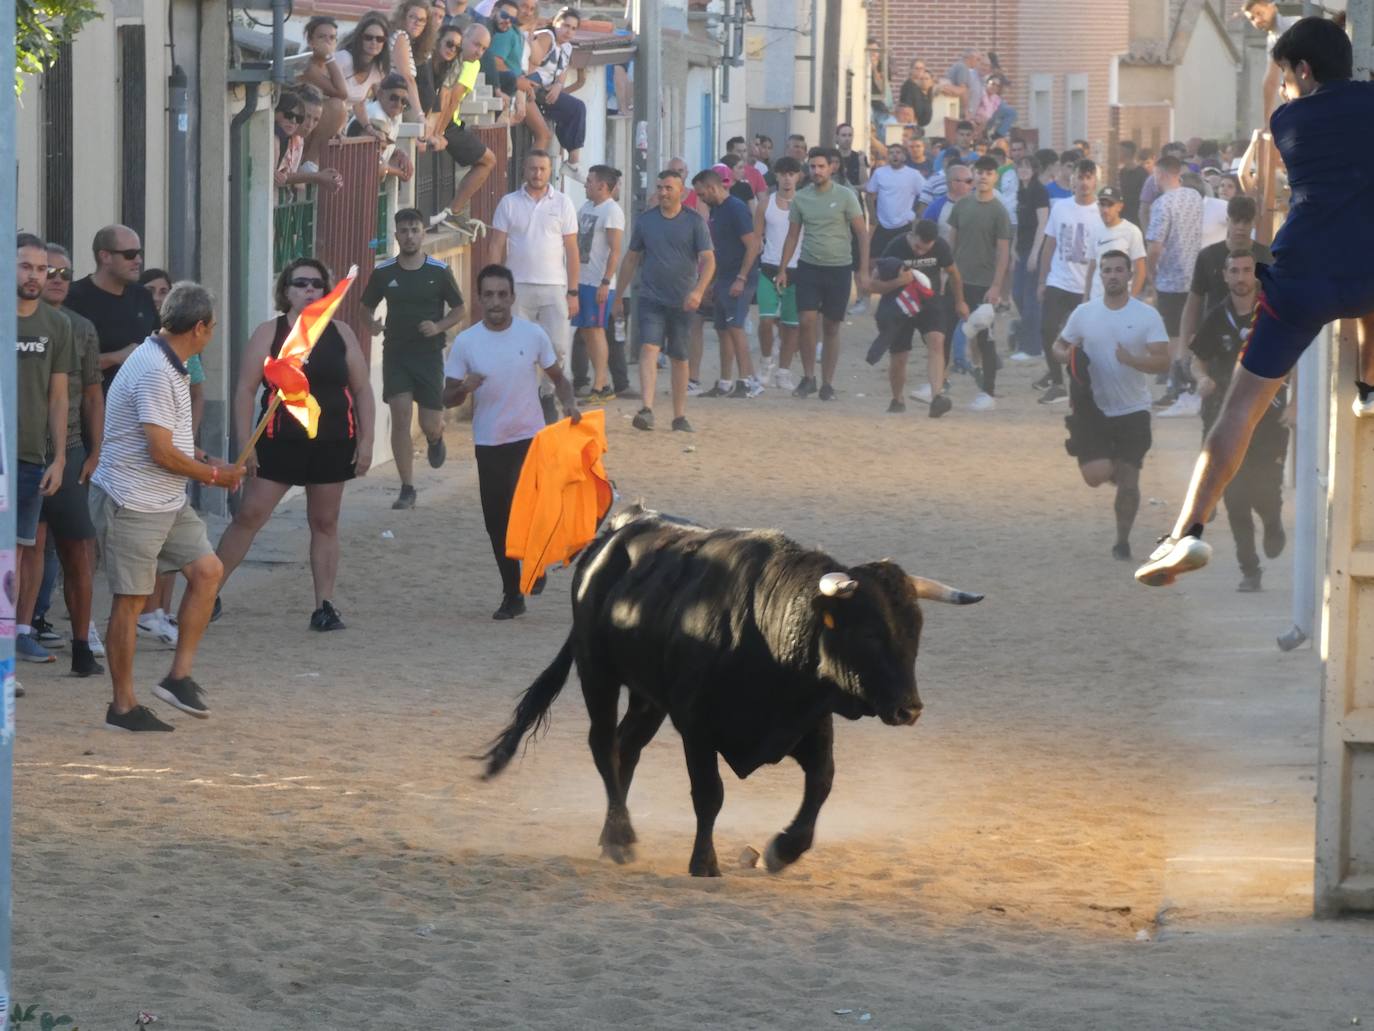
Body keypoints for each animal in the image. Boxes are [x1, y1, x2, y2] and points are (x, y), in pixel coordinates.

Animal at [478, 508, 983, 879]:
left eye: (914, 631)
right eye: (871, 634)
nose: (910, 709)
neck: (768, 630)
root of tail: (615, 534)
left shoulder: (810, 721)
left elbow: (822, 782)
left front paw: (783, 850)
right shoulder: (696, 727)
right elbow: (710, 793)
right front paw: (705, 863)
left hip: (648, 697)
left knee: (627, 747)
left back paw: (609, 835)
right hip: (597, 670)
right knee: (603, 743)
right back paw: (621, 836)